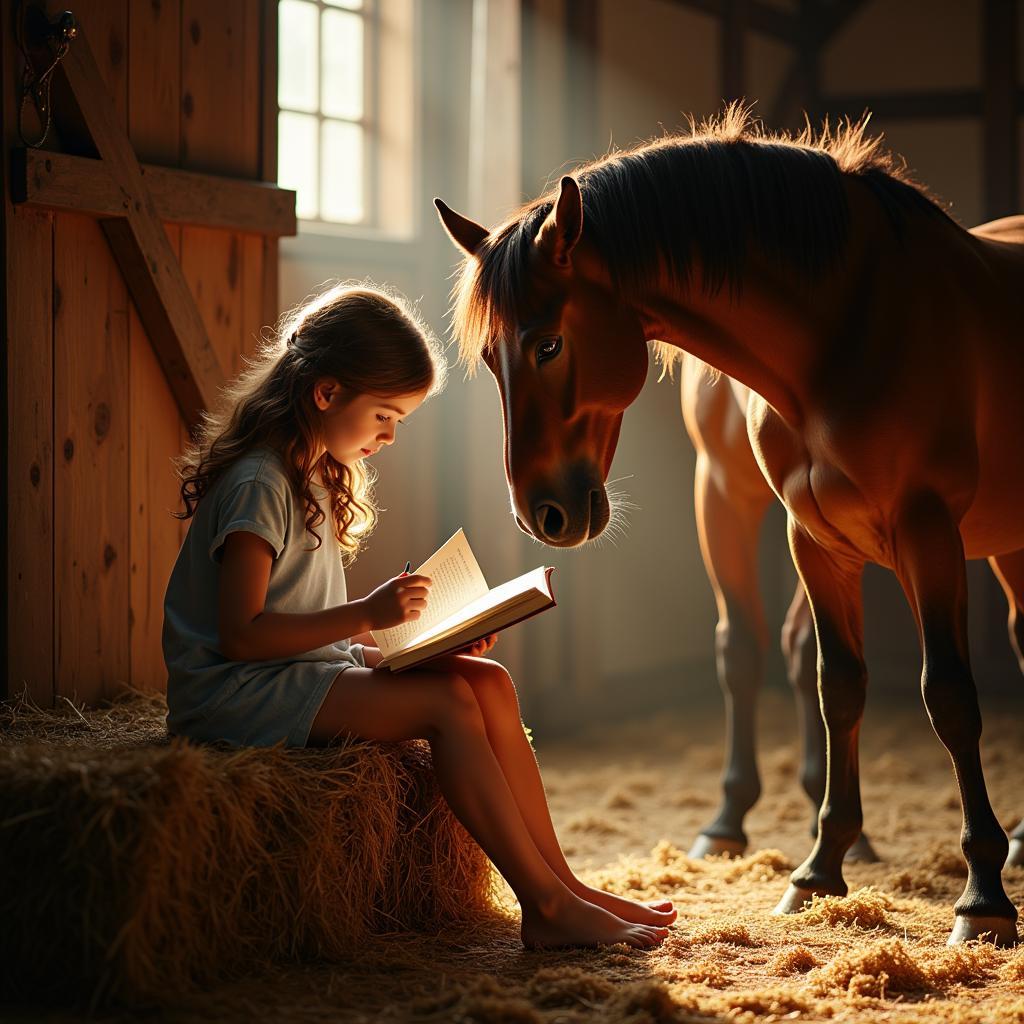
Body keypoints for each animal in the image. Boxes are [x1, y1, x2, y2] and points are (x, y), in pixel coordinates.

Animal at [436, 110, 1024, 942]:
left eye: (548, 343)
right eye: (490, 358)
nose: (542, 514)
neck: (853, 328)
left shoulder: (926, 530)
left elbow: (948, 696)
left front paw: (981, 898)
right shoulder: (814, 538)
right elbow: (835, 683)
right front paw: (818, 867)